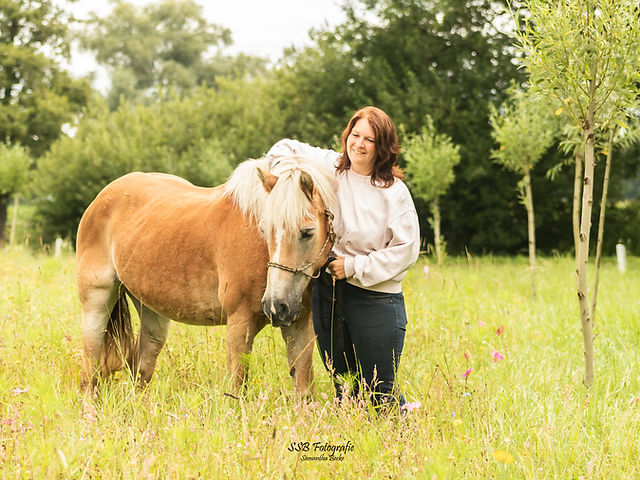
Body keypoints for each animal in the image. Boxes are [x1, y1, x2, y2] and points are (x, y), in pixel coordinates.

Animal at [75, 154, 337, 395]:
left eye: (307, 232)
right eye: (264, 230)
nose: (277, 305)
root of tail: (101, 198)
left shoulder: (299, 325)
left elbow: (304, 389)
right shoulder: (239, 323)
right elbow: (237, 387)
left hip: (151, 312)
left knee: (140, 368)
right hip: (97, 304)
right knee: (89, 372)